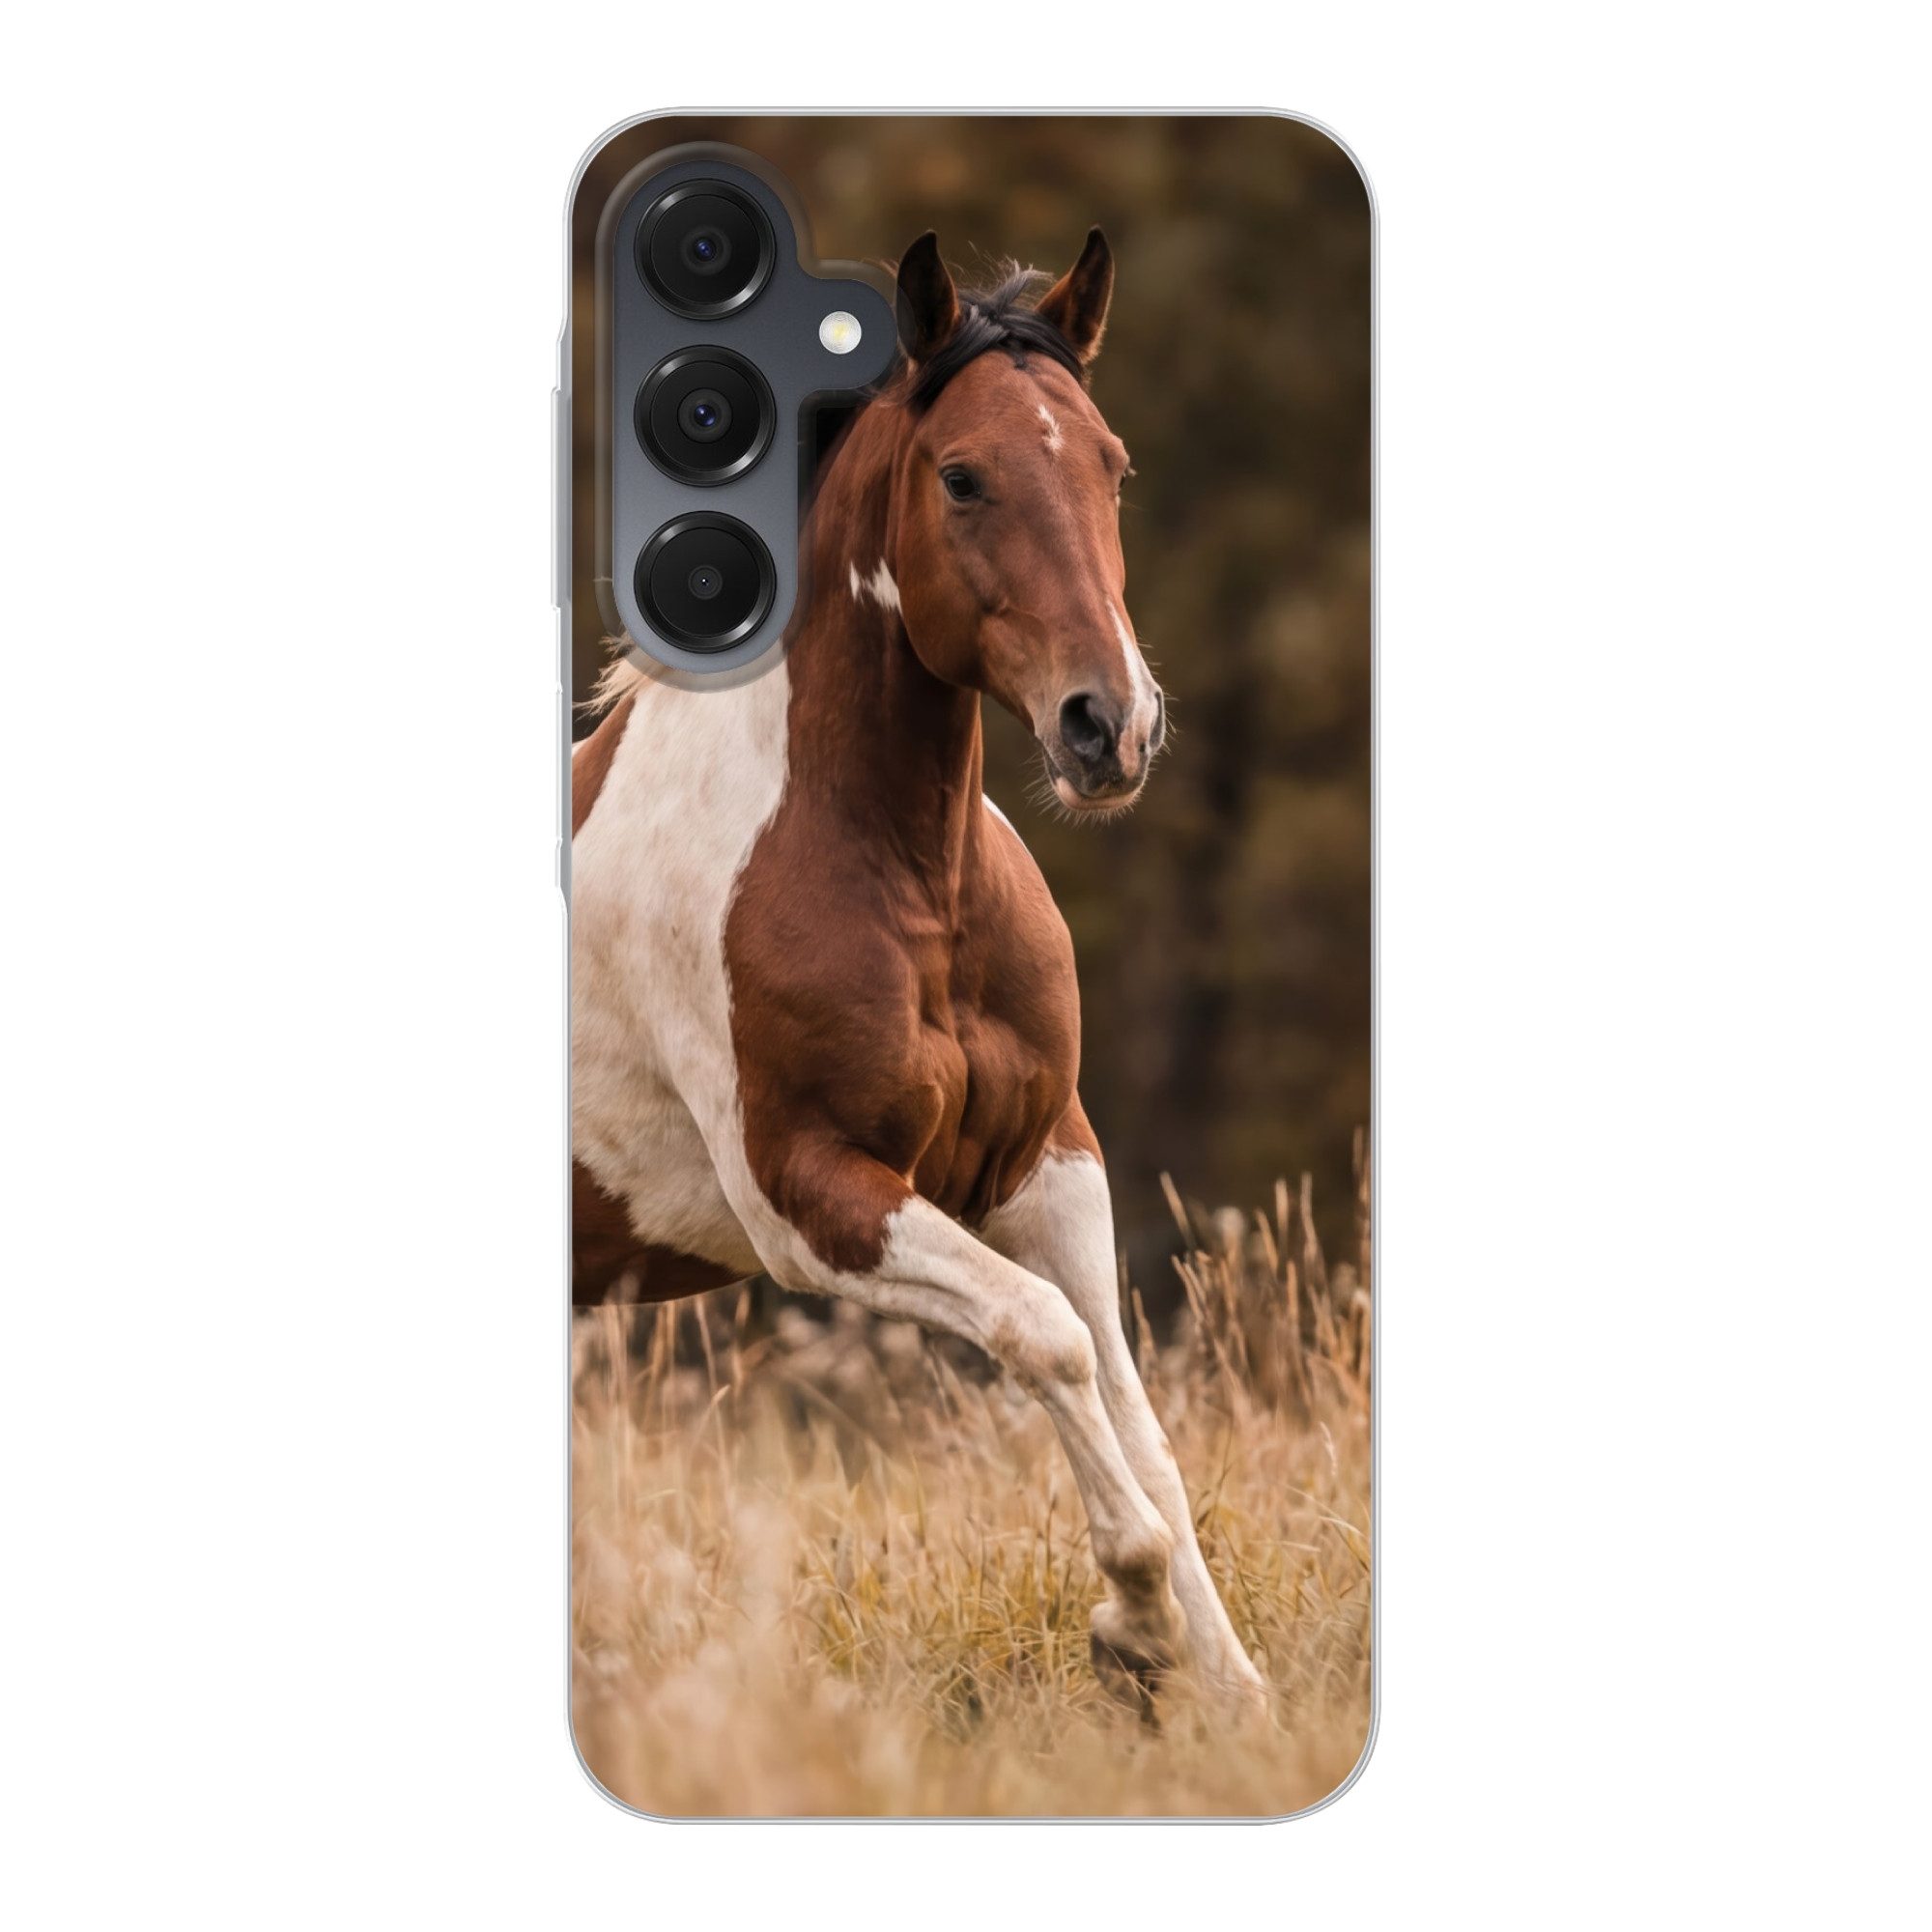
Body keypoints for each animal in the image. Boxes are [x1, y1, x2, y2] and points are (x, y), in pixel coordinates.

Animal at [570, 228, 1267, 1713]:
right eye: (962, 476)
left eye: (1111, 463)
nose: (1109, 727)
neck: (902, 879)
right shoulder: (812, 1197)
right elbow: (1045, 1337)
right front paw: (1132, 1625)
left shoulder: (1048, 1160)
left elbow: (1137, 1413)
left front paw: (1234, 1695)